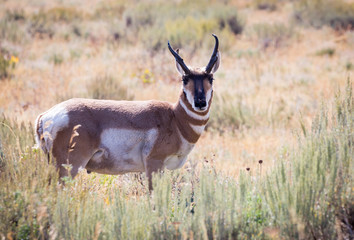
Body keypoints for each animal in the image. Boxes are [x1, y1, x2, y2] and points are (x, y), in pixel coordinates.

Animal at [35, 34, 218, 190]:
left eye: (210, 78)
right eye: (185, 79)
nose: (200, 102)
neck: (174, 119)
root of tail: (45, 116)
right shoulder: (154, 165)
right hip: (68, 168)